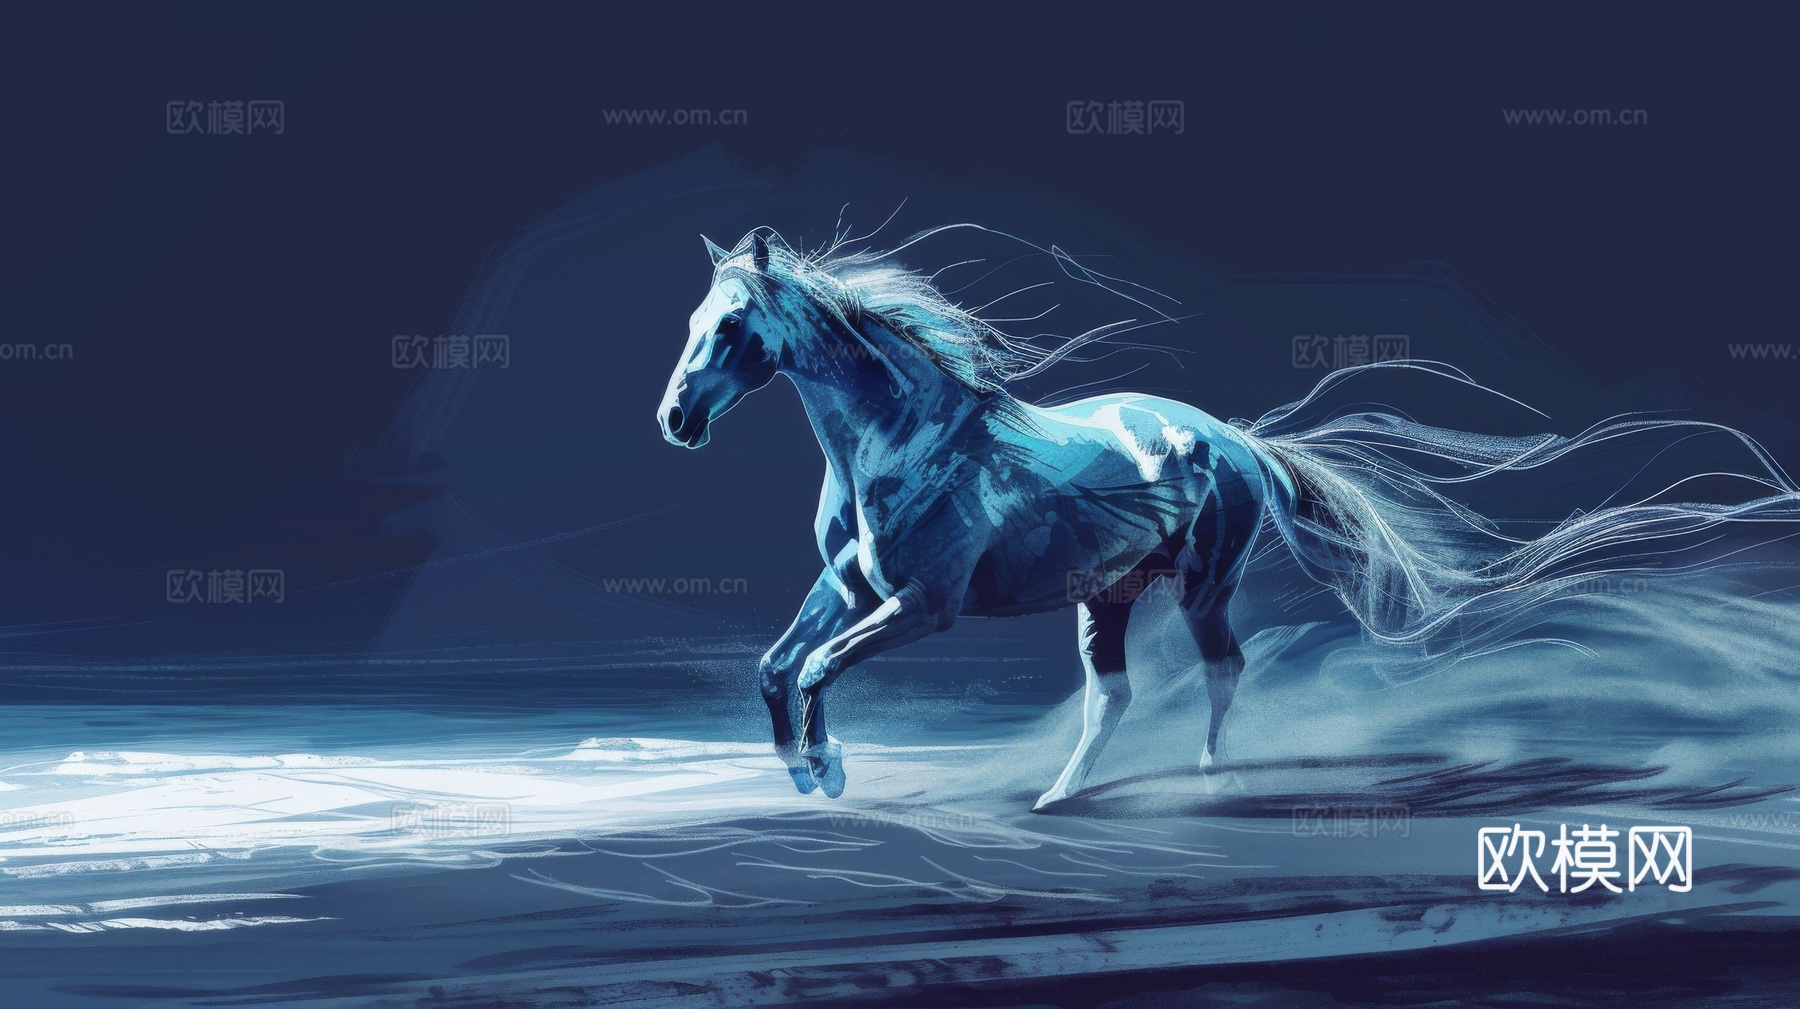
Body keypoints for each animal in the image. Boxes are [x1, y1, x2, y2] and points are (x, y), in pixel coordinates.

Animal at [657, 228, 1800, 810]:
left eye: (733, 322)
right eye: (693, 317)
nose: (674, 419)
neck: (903, 442)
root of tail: (1237, 438)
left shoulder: (920, 607)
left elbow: (813, 667)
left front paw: (830, 770)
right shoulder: (848, 588)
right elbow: (776, 666)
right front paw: (803, 769)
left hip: (1202, 582)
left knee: (1220, 667)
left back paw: (1208, 776)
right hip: (1107, 596)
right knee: (1113, 694)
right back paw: (1060, 796)